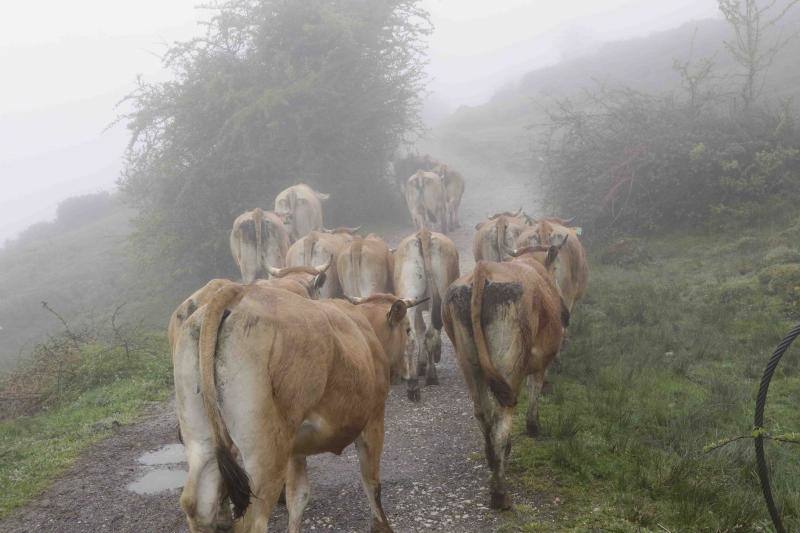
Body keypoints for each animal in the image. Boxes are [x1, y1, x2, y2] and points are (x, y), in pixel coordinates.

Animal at [173, 286, 424, 532]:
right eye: (408, 330)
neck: (364, 330)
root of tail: (238, 292)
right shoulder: (374, 418)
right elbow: (372, 482)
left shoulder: (296, 449)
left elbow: (298, 497)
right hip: (266, 452)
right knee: (252, 520)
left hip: (202, 440)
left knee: (196, 505)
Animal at [392, 225, 460, 400]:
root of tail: (424, 233)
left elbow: (419, 330)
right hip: (439, 296)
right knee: (431, 334)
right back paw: (431, 377)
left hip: (409, 293)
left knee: (411, 339)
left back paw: (413, 385)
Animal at [444, 239, 568, 510]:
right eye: (556, 270)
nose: (566, 312)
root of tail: (483, 270)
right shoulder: (542, 360)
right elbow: (535, 388)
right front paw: (533, 426)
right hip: (509, 364)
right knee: (502, 419)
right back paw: (499, 493)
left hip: (469, 363)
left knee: (483, 412)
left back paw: (492, 459)